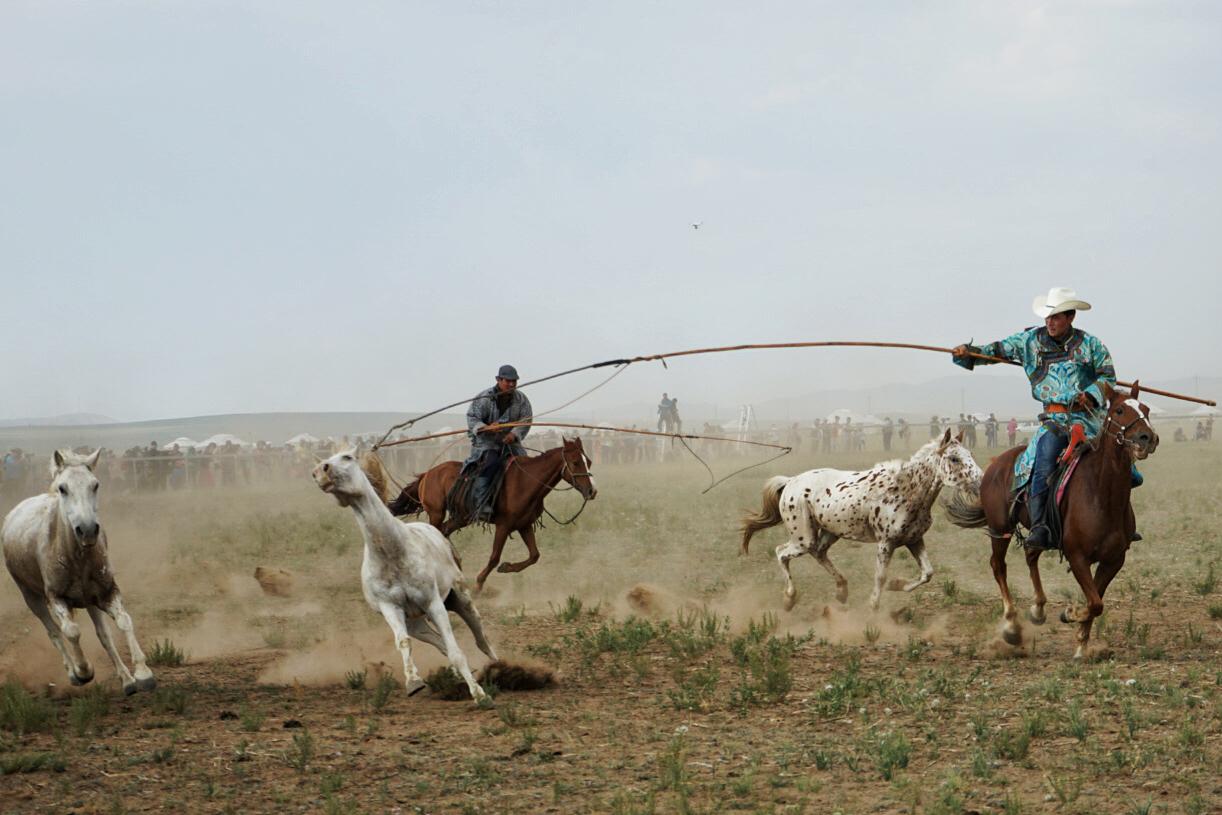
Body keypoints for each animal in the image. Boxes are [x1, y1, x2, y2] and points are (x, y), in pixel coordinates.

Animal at [1, 452, 155, 694]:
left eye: (95, 485)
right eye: (63, 488)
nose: (88, 529)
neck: (75, 557)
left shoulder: (107, 591)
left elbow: (123, 621)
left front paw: (142, 674)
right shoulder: (56, 597)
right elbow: (71, 631)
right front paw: (83, 671)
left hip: (90, 600)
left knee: (103, 635)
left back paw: (126, 679)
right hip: (31, 596)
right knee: (54, 632)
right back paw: (73, 672)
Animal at [315, 449, 496, 703]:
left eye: (347, 457)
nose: (321, 471)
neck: (392, 551)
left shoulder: (433, 603)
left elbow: (456, 650)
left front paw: (479, 695)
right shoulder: (391, 608)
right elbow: (403, 642)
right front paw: (413, 682)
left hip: (460, 598)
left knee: (480, 636)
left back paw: (498, 666)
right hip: (416, 622)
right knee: (437, 641)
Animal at [386, 439, 596, 593]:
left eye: (589, 462)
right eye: (576, 462)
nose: (592, 491)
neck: (526, 481)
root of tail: (427, 474)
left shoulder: (524, 525)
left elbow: (534, 555)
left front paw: (507, 567)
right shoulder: (504, 526)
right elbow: (494, 557)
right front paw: (479, 583)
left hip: (461, 517)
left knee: (444, 532)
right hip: (436, 513)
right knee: (437, 535)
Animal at [733, 432, 982, 610]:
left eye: (970, 453)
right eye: (954, 458)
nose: (980, 481)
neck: (905, 491)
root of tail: (790, 481)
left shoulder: (914, 540)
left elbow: (927, 573)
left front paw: (897, 585)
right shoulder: (886, 543)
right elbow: (880, 576)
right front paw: (873, 605)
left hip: (828, 532)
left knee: (819, 553)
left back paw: (842, 590)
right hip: (802, 537)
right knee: (781, 552)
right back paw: (789, 598)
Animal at [948, 383, 1158, 664]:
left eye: (1146, 408)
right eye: (1119, 410)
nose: (1147, 438)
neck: (1102, 495)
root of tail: (996, 464)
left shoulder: (1113, 560)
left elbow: (1096, 602)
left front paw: (1081, 646)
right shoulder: (1076, 556)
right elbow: (1094, 603)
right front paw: (1070, 614)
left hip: (1038, 532)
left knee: (1030, 553)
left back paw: (1038, 609)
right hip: (999, 528)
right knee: (998, 566)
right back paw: (1012, 627)